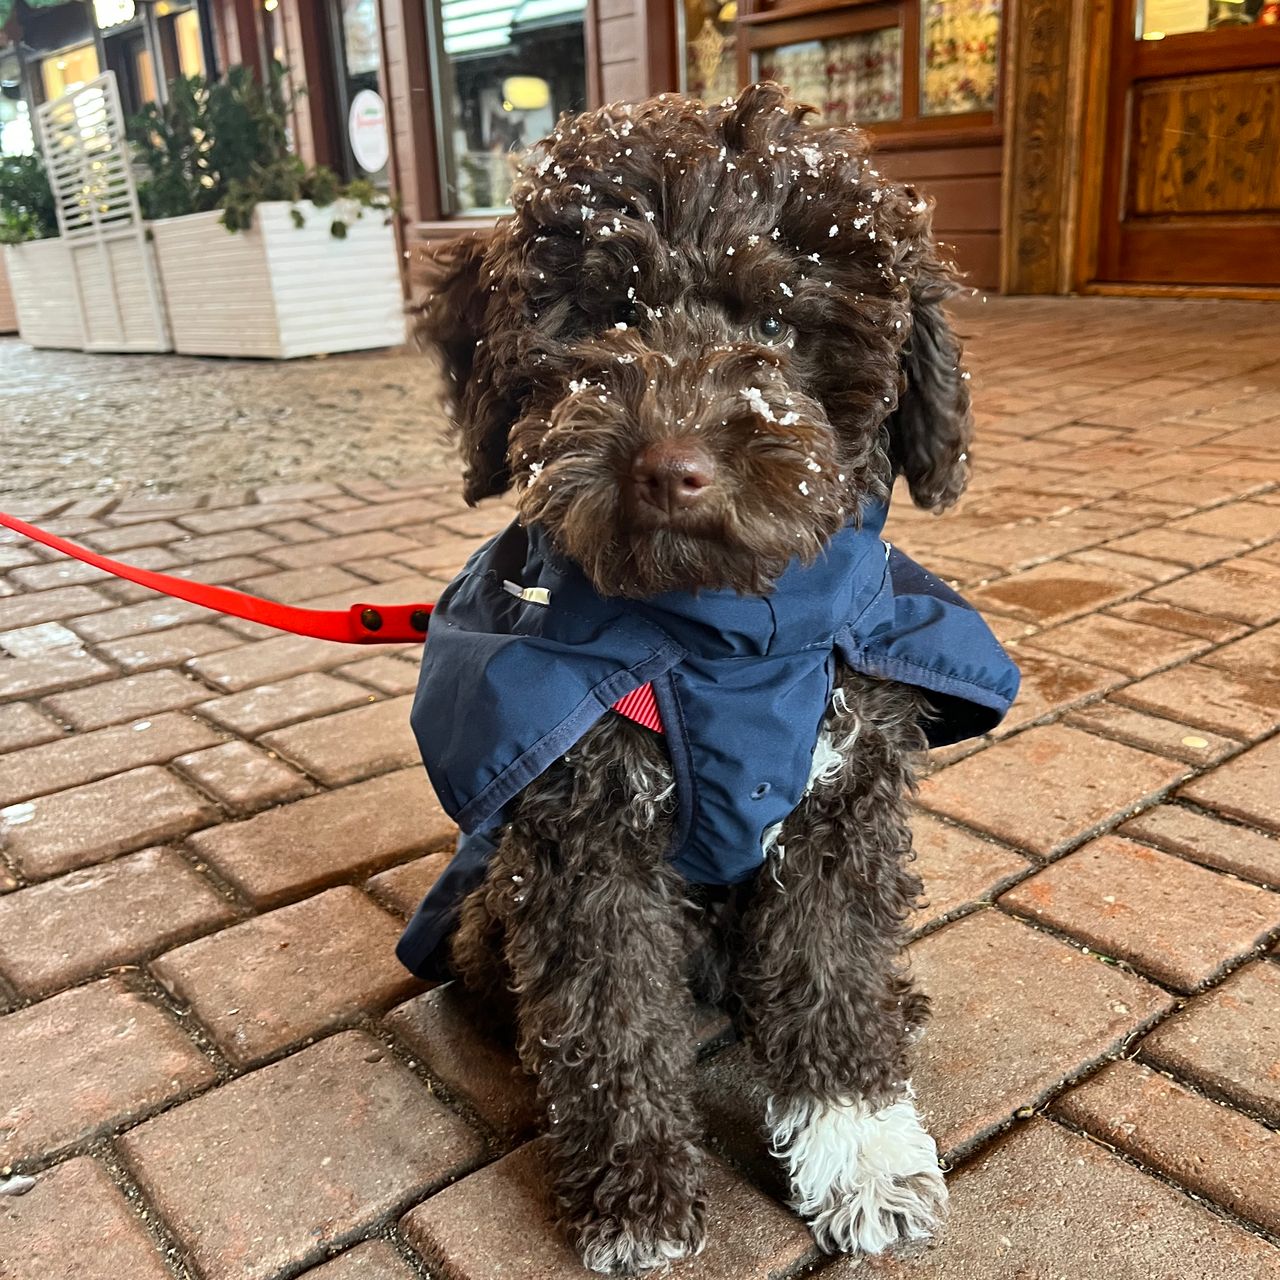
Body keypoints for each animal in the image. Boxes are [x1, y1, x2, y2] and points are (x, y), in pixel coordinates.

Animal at [401, 85, 1018, 1274]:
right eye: (605, 314)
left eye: (778, 328)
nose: (670, 467)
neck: (727, 648)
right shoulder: (583, 842)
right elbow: (606, 1018)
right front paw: (634, 1190)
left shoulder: (835, 807)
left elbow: (830, 978)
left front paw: (859, 1152)